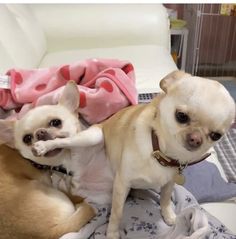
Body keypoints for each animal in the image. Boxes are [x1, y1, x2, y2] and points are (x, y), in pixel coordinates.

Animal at [32, 70, 235, 238]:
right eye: (181, 116)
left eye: (216, 136)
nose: (196, 139)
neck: (160, 152)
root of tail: (76, 176)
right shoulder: (122, 184)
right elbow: (117, 213)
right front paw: (112, 233)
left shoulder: (168, 182)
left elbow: (165, 198)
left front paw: (168, 214)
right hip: (91, 137)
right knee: (64, 142)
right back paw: (43, 146)